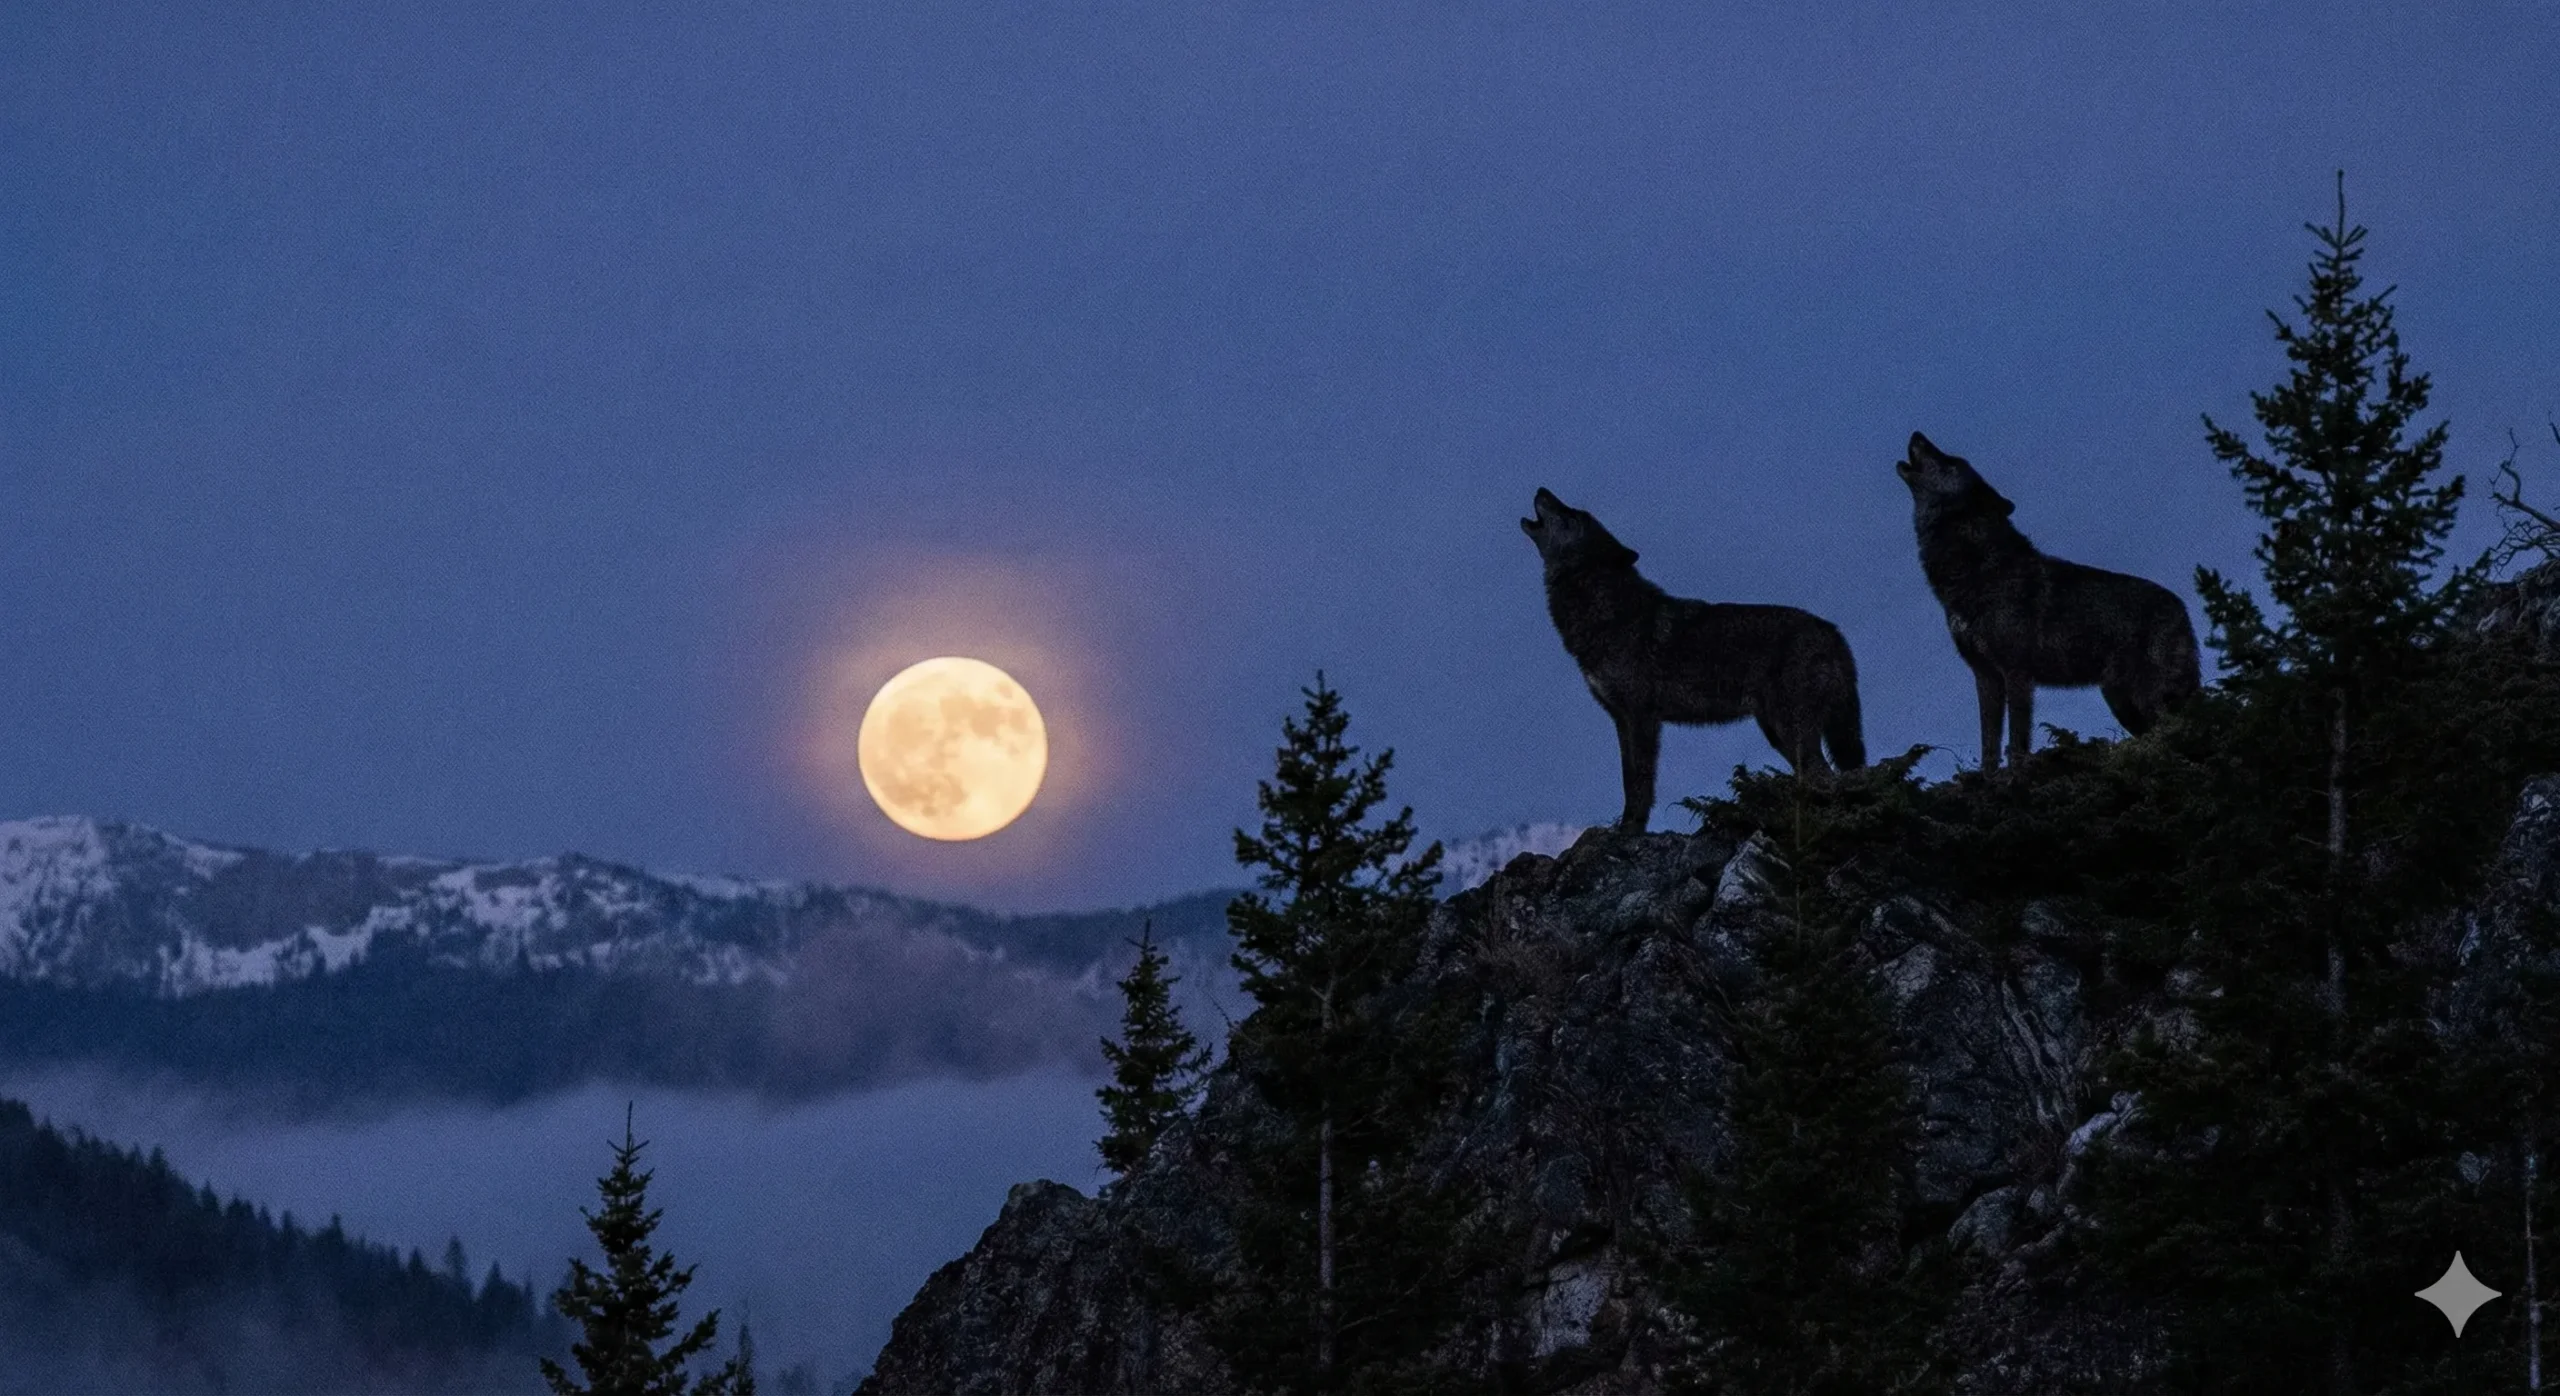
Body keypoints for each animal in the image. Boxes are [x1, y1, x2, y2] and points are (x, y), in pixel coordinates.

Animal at [1521, 487, 1865, 830]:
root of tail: (1832, 631)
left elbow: (1639, 782)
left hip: (1791, 729)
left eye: (1572, 515)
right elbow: (1627, 779)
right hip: (1777, 732)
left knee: (1825, 776)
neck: (1610, 613)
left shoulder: (1641, 718)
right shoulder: (1620, 718)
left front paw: (1631, 829)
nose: (1542, 489)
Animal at [1896, 432, 2200, 772]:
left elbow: (2017, 739)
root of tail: (2181, 607)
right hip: (2121, 701)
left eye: (1951, 462)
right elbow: (1989, 743)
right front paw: (1986, 779)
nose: (1917, 435)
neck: (1977, 568)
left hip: (2147, 697)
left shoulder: (2017, 673)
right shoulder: (1986, 677)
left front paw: (2016, 775)